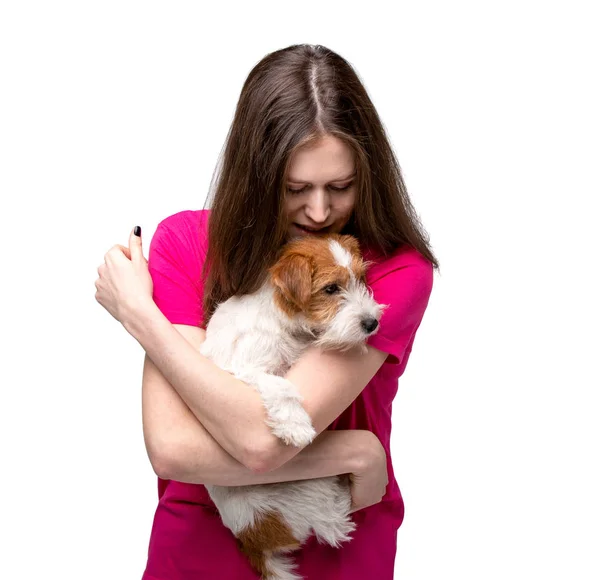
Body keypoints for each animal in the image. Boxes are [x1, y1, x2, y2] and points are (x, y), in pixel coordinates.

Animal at [199, 233, 386, 580]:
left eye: (361, 279)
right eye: (331, 289)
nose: (372, 323)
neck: (286, 321)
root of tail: (251, 542)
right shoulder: (242, 371)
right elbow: (281, 386)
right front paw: (295, 425)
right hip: (308, 494)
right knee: (333, 519)